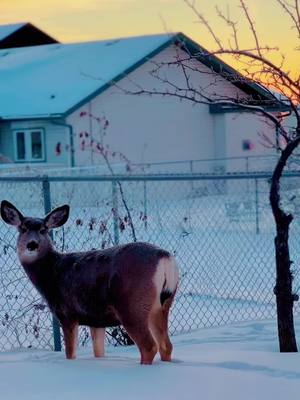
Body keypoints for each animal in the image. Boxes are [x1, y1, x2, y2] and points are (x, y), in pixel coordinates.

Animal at [0, 200, 178, 366]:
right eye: (22, 228)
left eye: (43, 229)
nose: (32, 244)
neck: (52, 272)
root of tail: (165, 257)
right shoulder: (96, 320)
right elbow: (98, 351)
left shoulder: (67, 313)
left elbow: (70, 353)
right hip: (162, 305)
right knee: (166, 345)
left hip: (131, 305)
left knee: (149, 346)